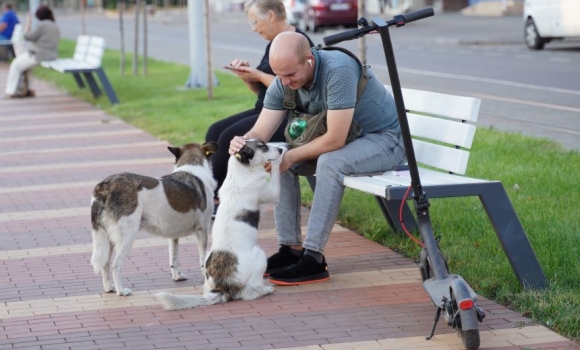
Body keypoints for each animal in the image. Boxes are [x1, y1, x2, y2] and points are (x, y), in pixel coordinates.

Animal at [90, 142, 218, 296]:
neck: (192, 168)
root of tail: (105, 185)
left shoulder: (173, 236)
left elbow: (174, 258)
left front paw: (177, 276)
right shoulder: (202, 230)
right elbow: (203, 259)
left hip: (108, 238)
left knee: (105, 263)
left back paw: (109, 287)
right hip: (127, 236)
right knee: (116, 264)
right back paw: (121, 291)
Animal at [156, 139, 284, 308]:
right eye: (262, 146)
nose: (280, 150)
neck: (241, 172)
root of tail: (223, 286)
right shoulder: (272, 194)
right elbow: (275, 174)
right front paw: (280, 158)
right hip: (260, 255)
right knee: (250, 292)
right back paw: (265, 290)